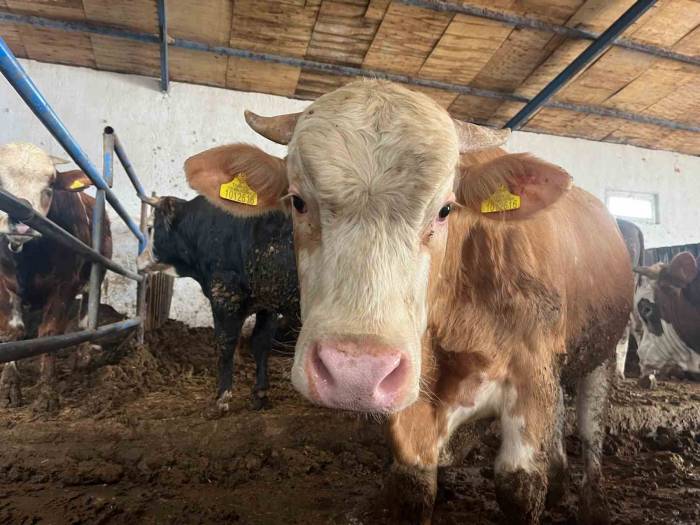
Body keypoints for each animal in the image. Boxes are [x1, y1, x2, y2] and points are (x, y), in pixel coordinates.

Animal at [0, 141, 110, 412]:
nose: (20, 223)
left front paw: (47, 393)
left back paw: (83, 357)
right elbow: (12, 332)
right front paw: (9, 387)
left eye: (49, 185)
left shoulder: (64, 285)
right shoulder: (2, 284)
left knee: (85, 319)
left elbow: (49, 334)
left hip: (94, 278)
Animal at [137, 194, 298, 412]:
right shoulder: (267, 300)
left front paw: (221, 399)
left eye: (150, 227)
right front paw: (260, 394)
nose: (138, 261)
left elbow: (225, 344)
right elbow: (261, 342)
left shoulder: (224, 293)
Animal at [183, 79, 632, 524]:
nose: (355, 372)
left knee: (590, 430)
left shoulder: (532, 379)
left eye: (446, 209)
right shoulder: (411, 404)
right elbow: (414, 484)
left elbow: (519, 484)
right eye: (297, 201)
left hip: (603, 352)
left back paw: (593, 502)